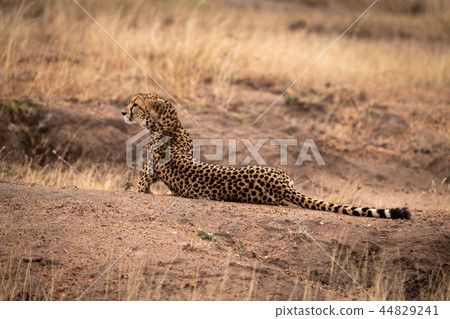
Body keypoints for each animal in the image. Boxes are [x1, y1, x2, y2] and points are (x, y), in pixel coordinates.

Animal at [122, 93, 412, 220]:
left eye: (135, 104)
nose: (123, 112)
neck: (170, 126)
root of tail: (280, 184)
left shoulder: (146, 178)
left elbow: (140, 188)